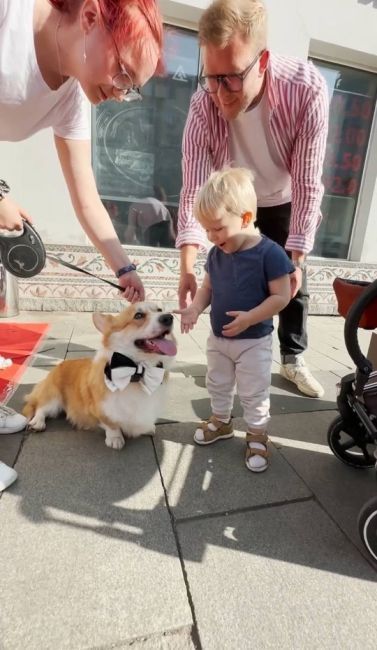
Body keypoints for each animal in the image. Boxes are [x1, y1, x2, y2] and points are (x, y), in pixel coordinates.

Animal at [22, 302, 176, 446]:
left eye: (159, 310)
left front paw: (148, 428)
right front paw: (115, 439)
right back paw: (37, 423)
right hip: (53, 398)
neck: (137, 371)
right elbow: (111, 425)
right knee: (41, 407)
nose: (169, 317)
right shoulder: (101, 410)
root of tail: (59, 365)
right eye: (138, 315)